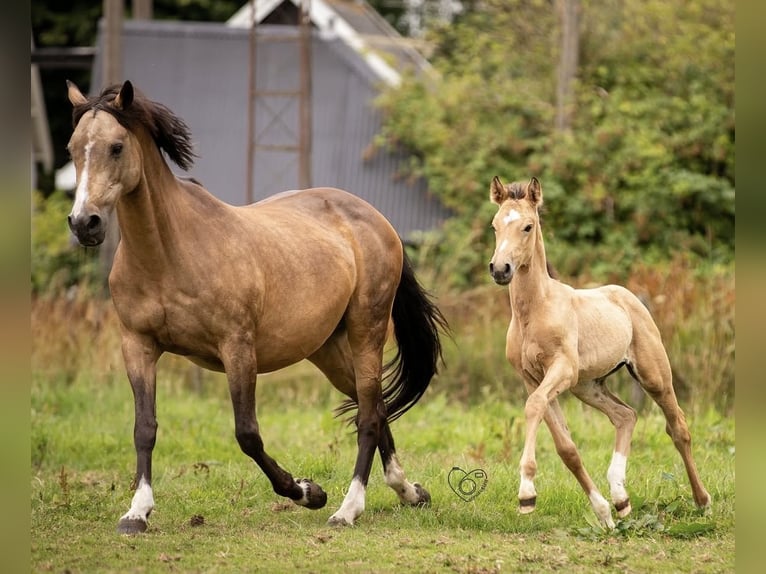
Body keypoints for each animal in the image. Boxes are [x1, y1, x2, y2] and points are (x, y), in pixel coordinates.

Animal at [65, 80, 448, 533]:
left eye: (117, 146)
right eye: (73, 148)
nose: (84, 223)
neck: (170, 254)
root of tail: (377, 220)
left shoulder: (237, 348)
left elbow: (247, 434)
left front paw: (307, 492)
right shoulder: (137, 345)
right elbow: (145, 428)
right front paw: (136, 512)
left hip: (365, 332)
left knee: (369, 417)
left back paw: (347, 509)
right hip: (328, 350)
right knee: (377, 407)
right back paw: (410, 492)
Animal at [487, 175, 710, 528]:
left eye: (528, 226)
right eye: (495, 225)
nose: (500, 269)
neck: (534, 311)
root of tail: (627, 295)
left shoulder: (561, 370)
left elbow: (533, 406)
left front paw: (526, 493)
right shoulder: (532, 378)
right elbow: (566, 447)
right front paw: (603, 513)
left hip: (653, 375)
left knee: (678, 428)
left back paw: (702, 501)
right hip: (588, 386)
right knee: (625, 415)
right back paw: (621, 499)